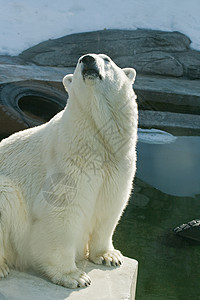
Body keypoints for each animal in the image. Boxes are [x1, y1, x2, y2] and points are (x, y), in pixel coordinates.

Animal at [0, 54, 138, 288]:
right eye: (79, 60)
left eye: (106, 59)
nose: (88, 60)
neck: (95, 140)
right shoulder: (68, 162)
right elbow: (62, 211)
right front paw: (75, 276)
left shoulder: (118, 164)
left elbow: (110, 205)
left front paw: (109, 256)